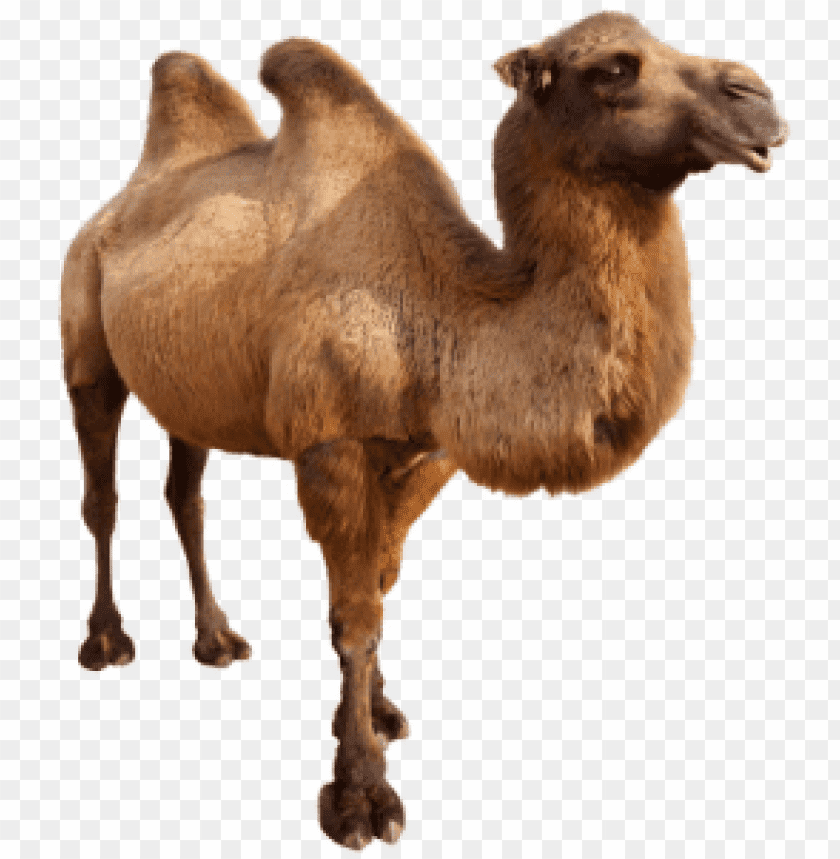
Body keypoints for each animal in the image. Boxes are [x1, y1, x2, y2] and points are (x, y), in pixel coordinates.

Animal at [60, 11, 786, 850]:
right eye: (613, 68)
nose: (758, 98)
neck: (447, 309)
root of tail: (113, 207)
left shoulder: (427, 451)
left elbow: (378, 584)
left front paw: (377, 712)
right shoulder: (331, 445)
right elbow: (355, 619)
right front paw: (360, 795)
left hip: (190, 380)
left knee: (185, 493)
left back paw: (217, 640)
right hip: (84, 333)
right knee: (102, 495)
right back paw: (105, 641)